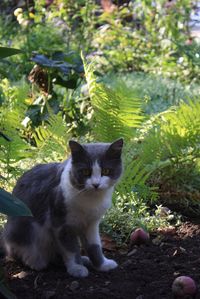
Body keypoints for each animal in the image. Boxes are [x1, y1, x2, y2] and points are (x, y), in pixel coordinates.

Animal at [3, 139, 123, 278]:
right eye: (86, 172)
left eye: (106, 171)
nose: (96, 184)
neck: (90, 200)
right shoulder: (61, 224)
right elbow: (71, 249)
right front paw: (76, 268)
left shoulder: (91, 224)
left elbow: (94, 246)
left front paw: (102, 265)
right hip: (27, 230)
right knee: (21, 253)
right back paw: (35, 262)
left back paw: (84, 260)